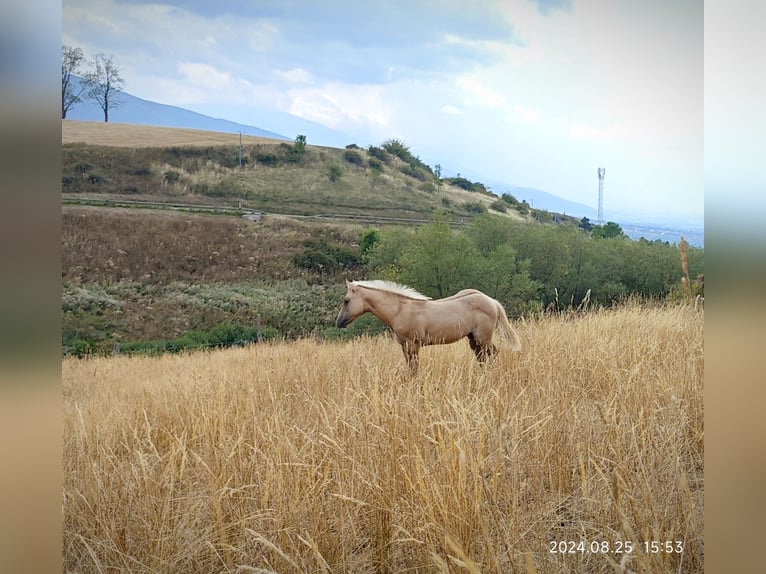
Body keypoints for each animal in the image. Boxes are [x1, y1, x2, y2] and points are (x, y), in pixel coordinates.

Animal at [336, 282, 520, 376]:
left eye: (346, 300)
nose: (339, 322)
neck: (401, 310)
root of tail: (492, 302)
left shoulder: (413, 344)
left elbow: (414, 368)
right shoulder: (404, 346)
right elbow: (410, 367)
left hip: (483, 338)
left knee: (493, 354)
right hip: (473, 339)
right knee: (482, 357)